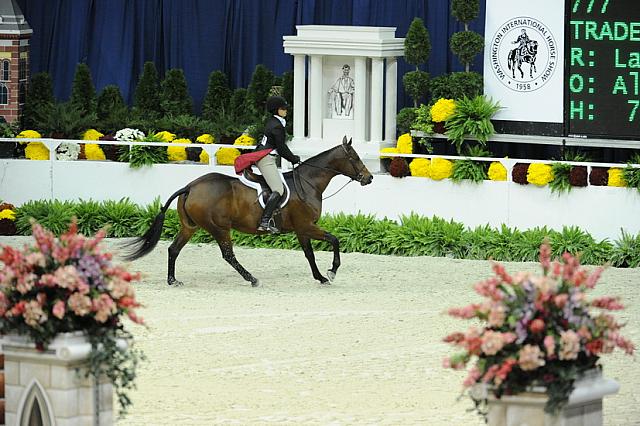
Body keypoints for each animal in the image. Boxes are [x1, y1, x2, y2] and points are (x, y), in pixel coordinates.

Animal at [120, 138, 372, 288]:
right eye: (355, 158)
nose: (369, 178)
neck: (308, 183)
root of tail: (190, 186)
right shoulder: (307, 226)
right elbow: (335, 240)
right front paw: (332, 271)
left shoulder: (302, 230)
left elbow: (309, 255)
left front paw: (320, 277)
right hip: (219, 228)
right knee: (228, 255)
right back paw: (252, 278)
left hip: (190, 227)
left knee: (174, 249)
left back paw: (173, 280)